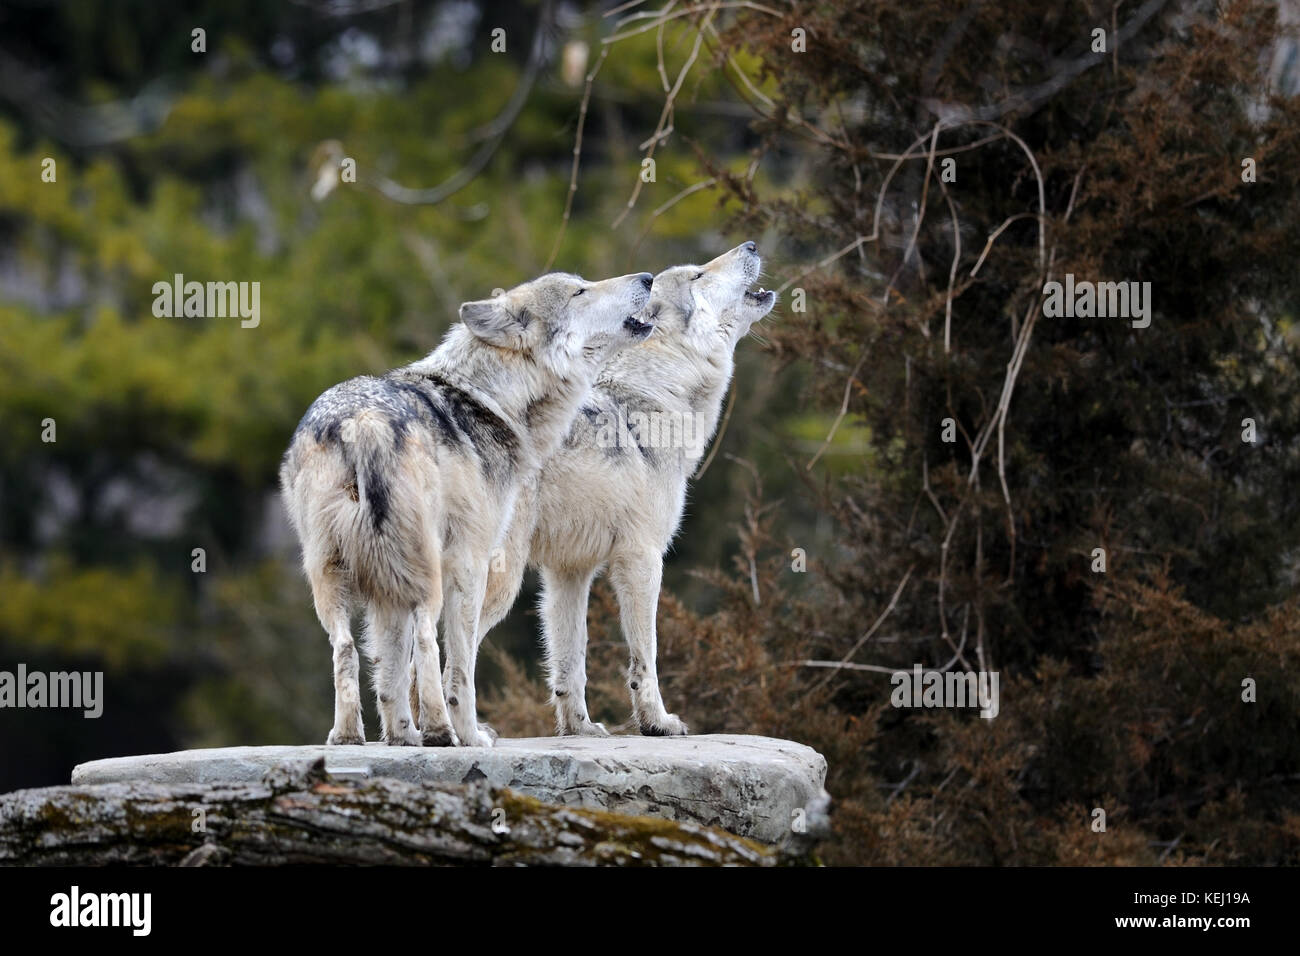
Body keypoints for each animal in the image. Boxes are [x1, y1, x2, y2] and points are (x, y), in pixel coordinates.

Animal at [280, 269, 655, 749]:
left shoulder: (386, 591)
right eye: (580, 290)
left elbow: (390, 674)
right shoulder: (471, 562)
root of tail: (364, 421)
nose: (647, 277)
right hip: (427, 573)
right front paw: (468, 733)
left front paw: (402, 736)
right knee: (427, 641)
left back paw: (349, 737)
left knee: (346, 649)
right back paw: (444, 733)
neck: (490, 399)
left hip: (333, 575)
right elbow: (459, 668)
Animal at [480, 243, 774, 738]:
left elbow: (570, 662)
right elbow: (645, 657)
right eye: (698, 275)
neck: (656, 397)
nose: (751, 245)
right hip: (500, 580)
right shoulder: (642, 558)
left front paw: (579, 729)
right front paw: (657, 722)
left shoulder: (568, 573)